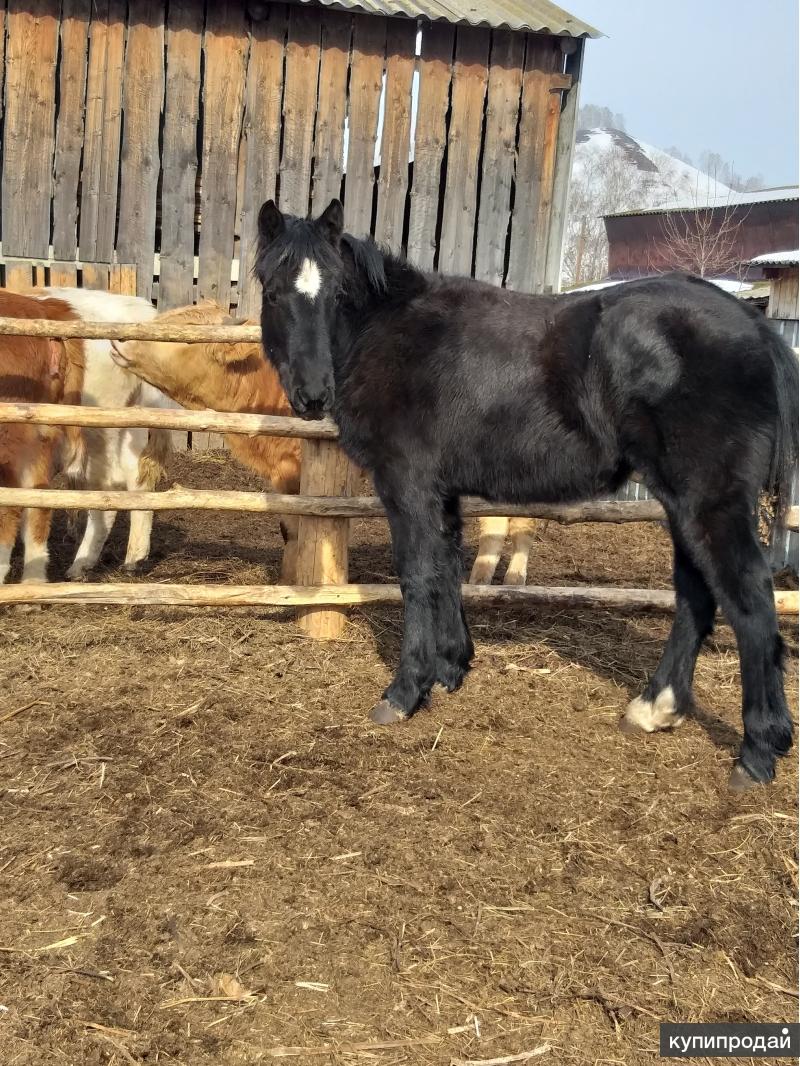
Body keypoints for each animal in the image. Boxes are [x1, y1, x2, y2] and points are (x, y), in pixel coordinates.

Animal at [254, 196, 797, 788]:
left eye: (336, 294)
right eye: (273, 291)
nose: (313, 394)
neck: (390, 332)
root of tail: (755, 326)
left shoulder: (409, 486)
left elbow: (417, 576)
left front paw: (405, 692)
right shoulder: (443, 493)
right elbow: (447, 568)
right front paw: (452, 666)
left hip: (709, 501)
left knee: (749, 598)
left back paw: (757, 752)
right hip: (681, 504)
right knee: (696, 593)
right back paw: (656, 707)